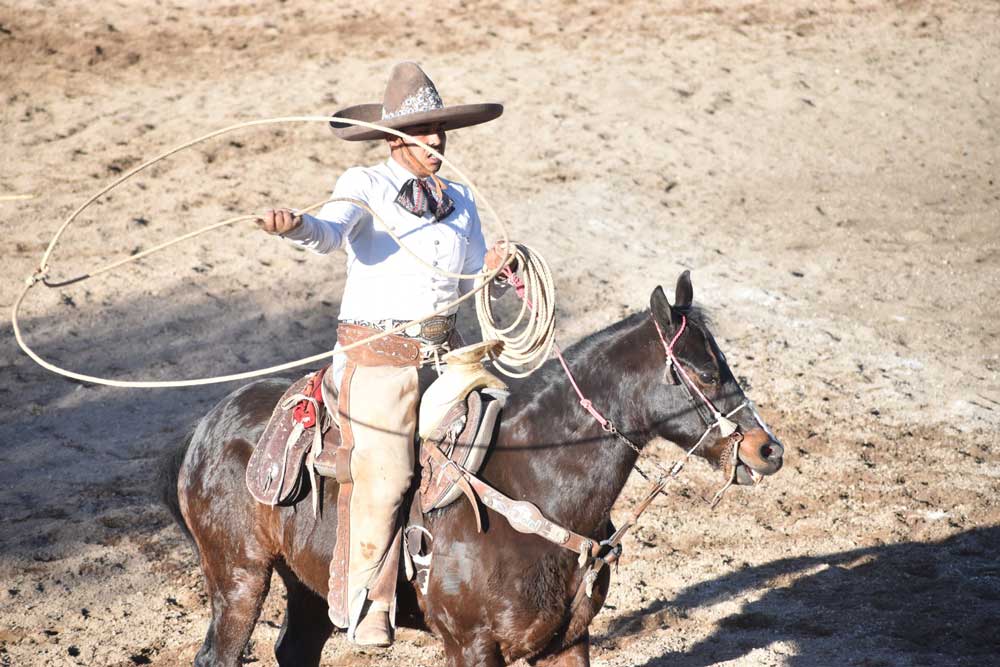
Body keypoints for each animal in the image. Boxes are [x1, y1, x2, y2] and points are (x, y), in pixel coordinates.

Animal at [162, 272, 780, 667]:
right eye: (704, 373)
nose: (766, 449)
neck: (536, 488)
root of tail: (206, 425)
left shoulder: (567, 642)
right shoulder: (472, 646)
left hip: (309, 586)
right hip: (239, 578)